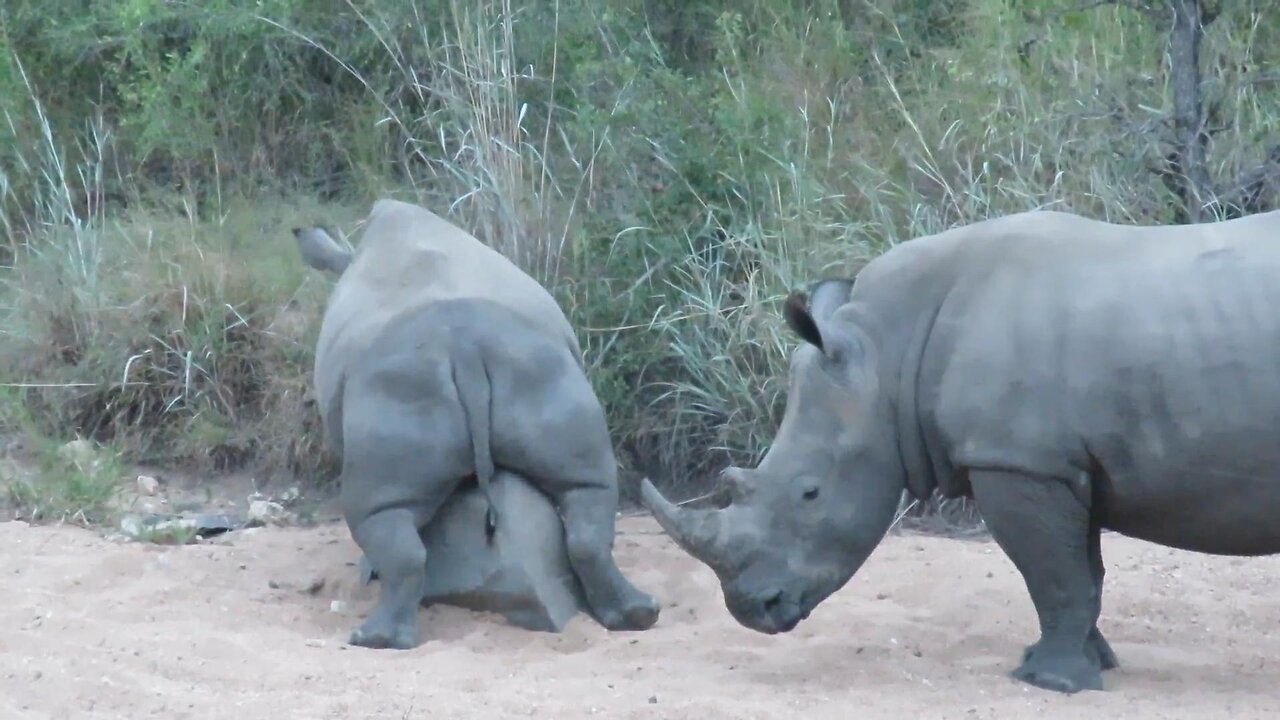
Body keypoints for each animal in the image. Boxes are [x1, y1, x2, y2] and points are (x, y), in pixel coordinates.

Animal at [291, 197, 660, 650]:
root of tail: (465, 348)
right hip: (540, 367)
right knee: (589, 489)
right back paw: (638, 615)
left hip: (399, 384)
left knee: (376, 511)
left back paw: (372, 639)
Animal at [645, 206, 1280, 691]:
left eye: (810, 492)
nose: (754, 610)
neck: (888, 353)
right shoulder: (1058, 461)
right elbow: (1082, 571)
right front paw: (1083, 664)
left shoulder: (1015, 458)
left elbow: (1056, 576)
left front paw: (1049, 682)